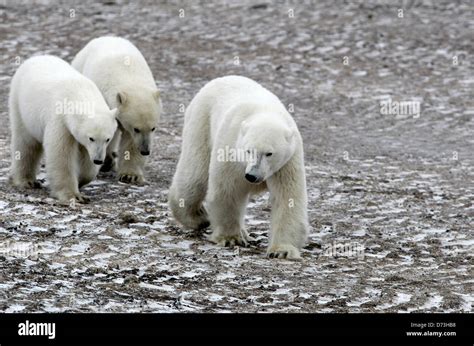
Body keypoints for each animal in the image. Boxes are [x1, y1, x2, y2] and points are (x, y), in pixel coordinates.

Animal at [8, 55, 117, 203]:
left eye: (107, 139)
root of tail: (35, 57)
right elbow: (61, 153)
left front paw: (81, 180)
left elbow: (86, 160)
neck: (80, 92)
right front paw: (74, 196)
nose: (98, 160)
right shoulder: (61, 120)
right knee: (26, 143)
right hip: (20, 106)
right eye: (91, 138)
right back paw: (27, 181)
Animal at [71, 35, 162, 184]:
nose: (145, 151)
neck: (129, 75)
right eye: (136, 129)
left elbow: (130, 143)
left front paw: (130, 175)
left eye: (153, 128)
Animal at [168, 76, 310, 260]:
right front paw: (231, 238)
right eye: (248, 150)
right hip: (201, 124)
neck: (264, 112)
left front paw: (282, 250)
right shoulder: (231, 149)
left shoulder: (287, 162)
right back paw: (198, 218)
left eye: (269, 153)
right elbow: (228, 191)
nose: (252, 176)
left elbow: (288, 198)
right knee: (195, 176)